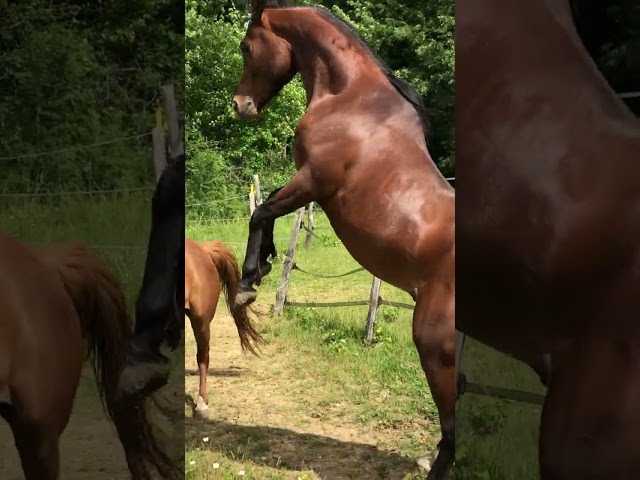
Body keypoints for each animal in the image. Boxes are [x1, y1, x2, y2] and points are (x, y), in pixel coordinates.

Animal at [231, 2, 456, 478]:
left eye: (245, 46)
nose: (241, 106)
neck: (351, 100)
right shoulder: (308, 184)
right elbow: (269, 208)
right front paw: (264, 265)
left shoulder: (315, 180)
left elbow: (263, 211)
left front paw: (247, 283)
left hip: (434, 342)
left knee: (453, 423)